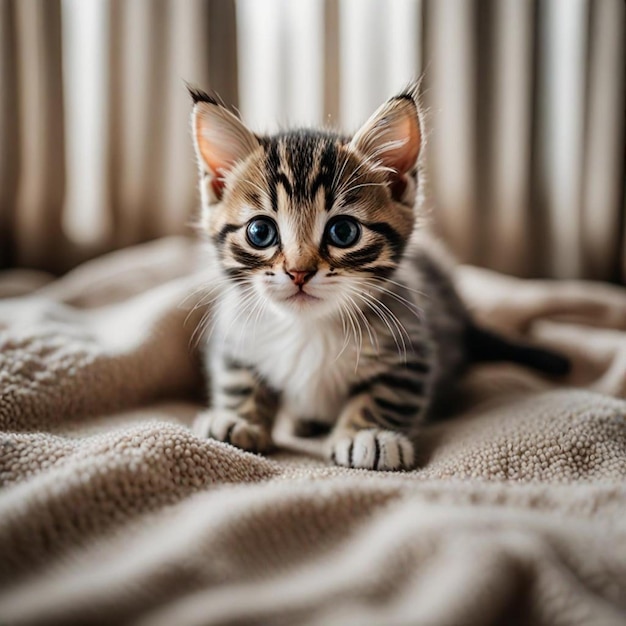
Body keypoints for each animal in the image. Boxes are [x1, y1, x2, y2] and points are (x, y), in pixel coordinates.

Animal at [188, 85, 568, 470]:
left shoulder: (410, 344)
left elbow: (386, 394)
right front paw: (237, 418)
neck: (310, 327)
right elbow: (238, 379)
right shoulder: (236, 333)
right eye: (260, 232)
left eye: (343, 232)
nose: (299, 272)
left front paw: (367, 435)